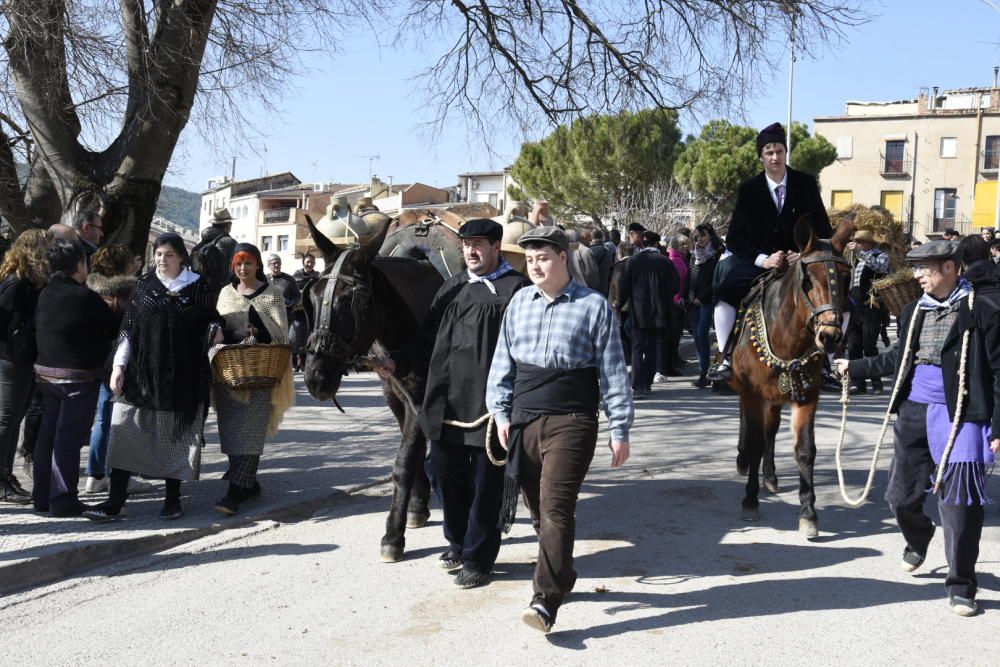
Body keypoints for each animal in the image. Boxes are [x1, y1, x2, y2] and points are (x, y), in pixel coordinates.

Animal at [728, 217, 852, 540]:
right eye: (807, 281)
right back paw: (743, 460)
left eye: (845, 278)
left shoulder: (807, 396)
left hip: (776, 397)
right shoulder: (753, 393)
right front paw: (750, 500)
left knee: (771, 430)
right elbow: (756, 442)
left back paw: (770, 476)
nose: (830, 336)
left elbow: (805, 450)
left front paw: (808, 513)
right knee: (749, 426)